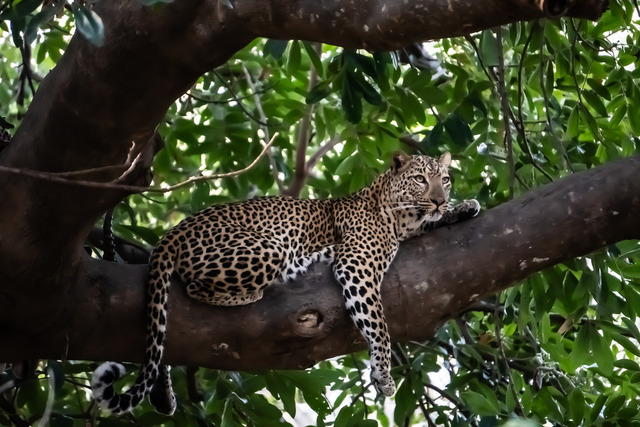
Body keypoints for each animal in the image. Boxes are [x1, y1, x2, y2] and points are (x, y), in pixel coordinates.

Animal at [91, 151, 480, 415]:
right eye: (419, 179)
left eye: (444, 180)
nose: (439, 199)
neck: (398, 216)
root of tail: (172, 233)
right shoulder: (357, 264)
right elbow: (378, 323)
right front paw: (383, 373)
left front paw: (462, 208)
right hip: (269, 247)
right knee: (194, 287)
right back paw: (258, 290)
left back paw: (163, 394)